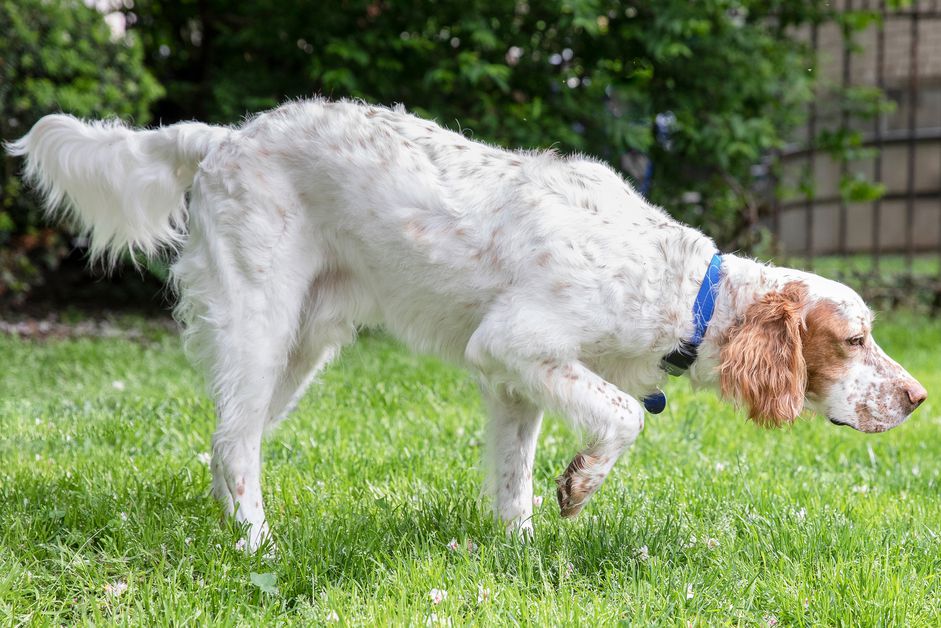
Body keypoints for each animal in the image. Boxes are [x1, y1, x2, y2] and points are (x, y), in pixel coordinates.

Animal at [9, 97, 924, 548]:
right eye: (854, 339)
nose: (917, 399)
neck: (676, 286)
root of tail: (223, 137)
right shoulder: (515, 343)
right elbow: (623, 416)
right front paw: (579, 485)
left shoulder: (515, 383)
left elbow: (513, 481)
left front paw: (522, 552)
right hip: (260, 325)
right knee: (235, 448)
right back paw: (258, 550)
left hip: (300, 350)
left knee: (225, 443)